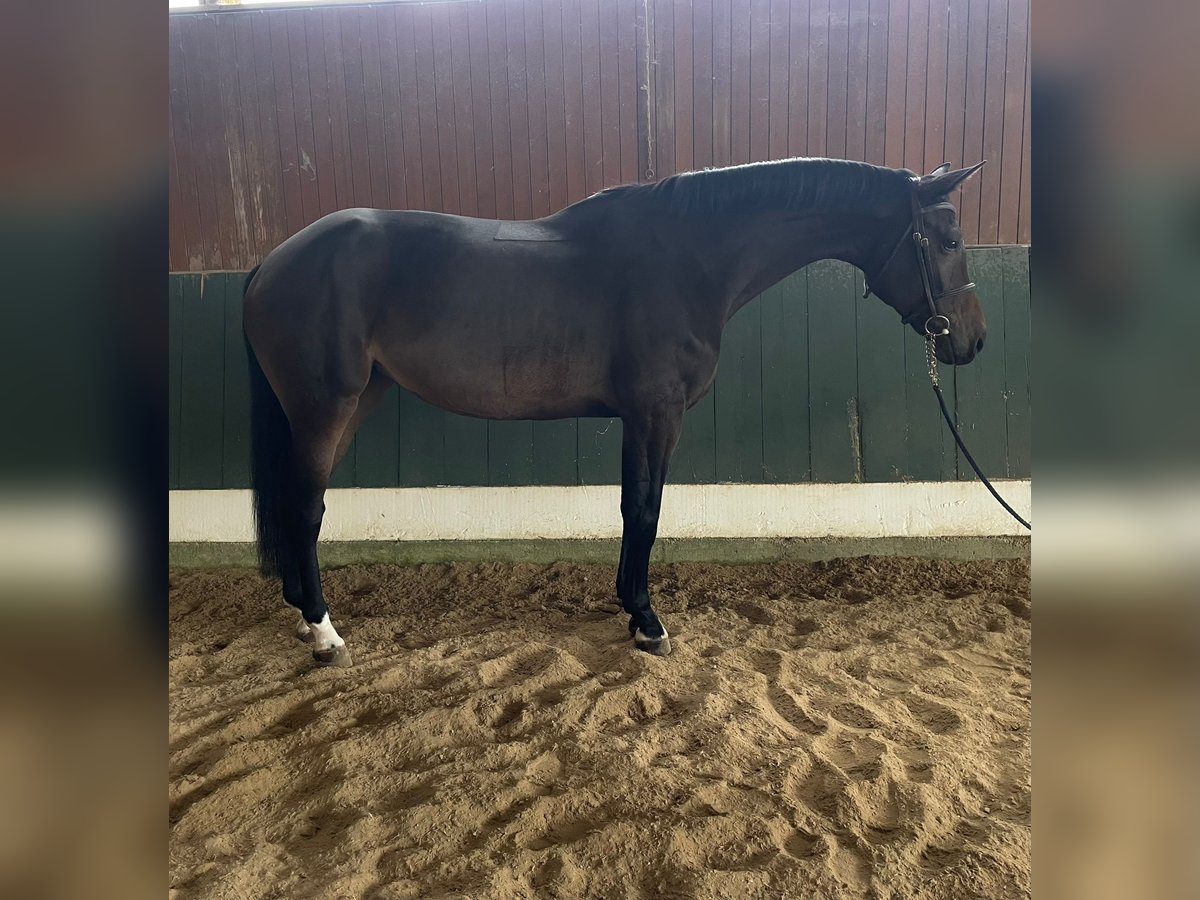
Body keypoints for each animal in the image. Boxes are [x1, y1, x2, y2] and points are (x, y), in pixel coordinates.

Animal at [241, 154, 984, 667]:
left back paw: (303, 615)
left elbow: (633, 509)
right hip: (325, 406)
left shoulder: (639, 418)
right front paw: (648, 623)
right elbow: (645, 511)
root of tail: (273, 260)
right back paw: (325, 634)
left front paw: (633, 611)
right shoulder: (657, 413)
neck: (690, 259)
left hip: (352, 401)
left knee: (297, 504)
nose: (972, 342)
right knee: (305, 510)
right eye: (948, 240)